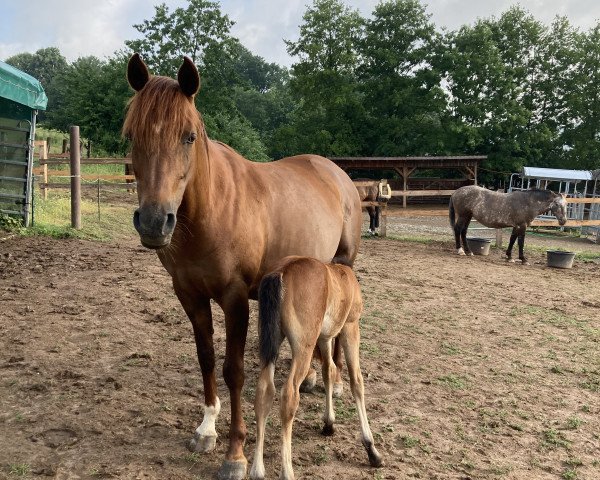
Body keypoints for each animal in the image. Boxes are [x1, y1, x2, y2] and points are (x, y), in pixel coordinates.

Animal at [122, 54, 360, 478]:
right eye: (133, 135)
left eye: (189, 136)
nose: (153, 222)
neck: (210, 209)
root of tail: (335, 173)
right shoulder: (189, 295)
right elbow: (206, 359)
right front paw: (206, 429)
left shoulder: (234, 300)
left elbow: (233, 370)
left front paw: (235, 453)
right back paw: (313, 378)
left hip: (341, 267)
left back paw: (331, 384)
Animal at [250, 256, 382, 480]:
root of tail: (281, 272)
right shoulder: (350, 327)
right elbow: (356, 381)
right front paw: (371, 449)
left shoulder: (324, 338)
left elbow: (328, 371)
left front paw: (329, 423)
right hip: (304, 346)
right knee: (289, 395)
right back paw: (287, 472)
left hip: (271, 343)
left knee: (264, 392)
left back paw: (257, 470)